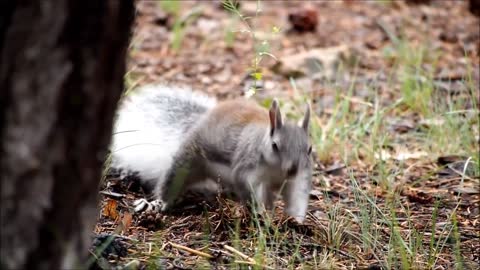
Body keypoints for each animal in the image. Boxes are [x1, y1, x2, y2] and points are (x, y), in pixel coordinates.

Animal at [111, 84, 316, 221]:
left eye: (309, 149)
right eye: (275, 145)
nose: (292, 169)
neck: (276, 171)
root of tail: (201, 120)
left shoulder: (298, 179)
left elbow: (297, 198)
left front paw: (296, 221)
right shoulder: (247, 166)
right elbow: (248, 188)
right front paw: (260, 213)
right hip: (188, 162)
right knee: (171, 183)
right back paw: (157, 203)